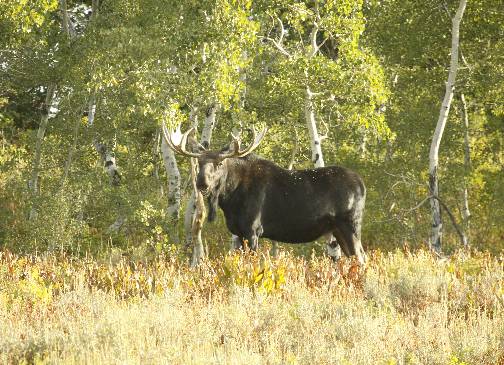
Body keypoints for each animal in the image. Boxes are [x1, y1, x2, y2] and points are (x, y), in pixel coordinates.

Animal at [164, 123, 366, 264]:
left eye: (220, 163)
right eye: (199, 163)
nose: (202, 183)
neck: (230, 199)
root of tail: (362, 185)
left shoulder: (253, 230)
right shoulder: (238, 232)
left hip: (351, 224)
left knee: (362, 257)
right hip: (337, 229)